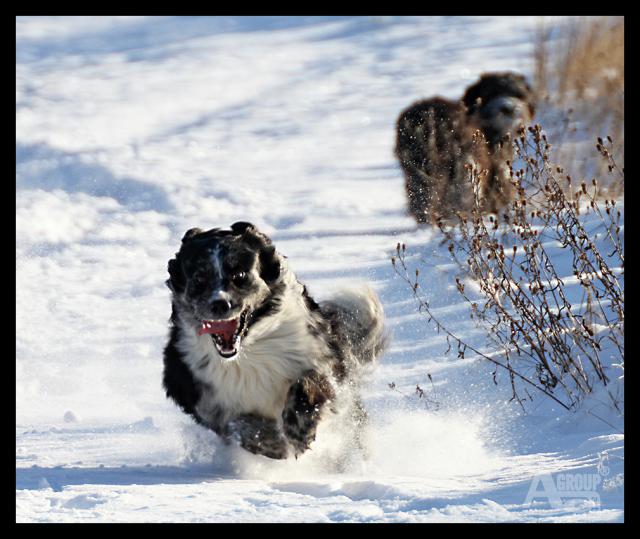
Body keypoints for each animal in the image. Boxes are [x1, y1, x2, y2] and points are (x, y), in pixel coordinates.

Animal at [162, 223, 388, 460]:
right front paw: (268, 441)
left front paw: (299, 431)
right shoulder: (190, 385)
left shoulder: (323, 355)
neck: (249, 350)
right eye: (199, 278)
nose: (220, 304)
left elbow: (309, 381)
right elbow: (233, 421)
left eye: (239, 274)